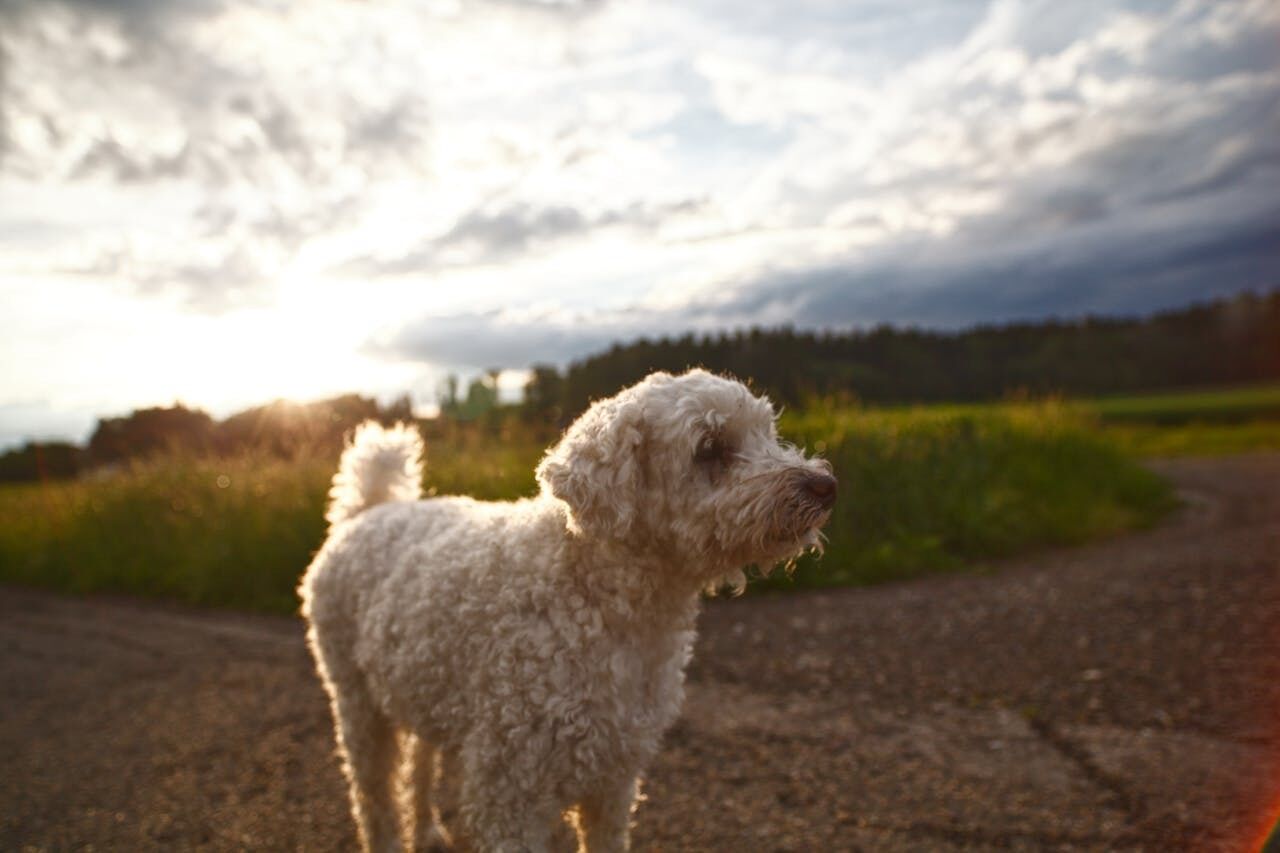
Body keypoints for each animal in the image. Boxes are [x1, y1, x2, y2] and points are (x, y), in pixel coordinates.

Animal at [299, 368, 839, 845]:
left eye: (768, 432)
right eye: (708, 447)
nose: (825, 486)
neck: (595, 599)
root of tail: (367, 510)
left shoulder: (615, 781)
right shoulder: (508, 792)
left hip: (415, 683)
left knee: (419, 762)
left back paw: (429, 830)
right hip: (356, 703)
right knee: (374, 799)